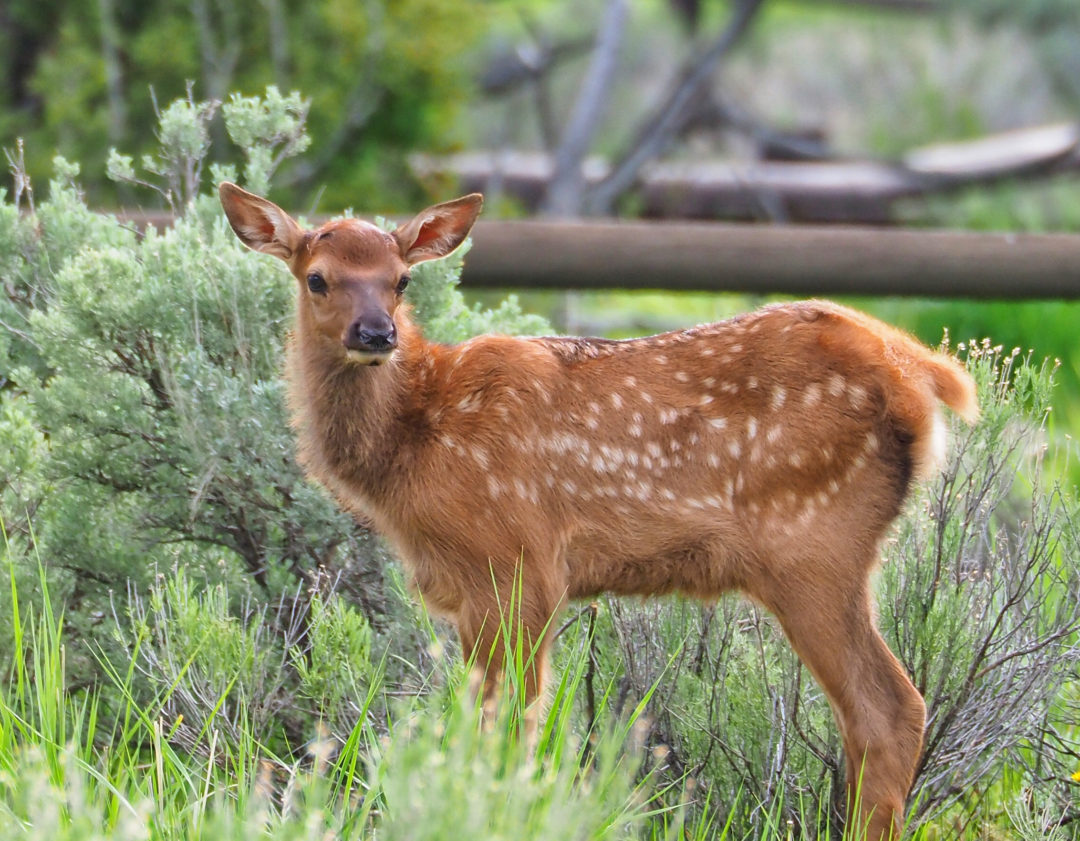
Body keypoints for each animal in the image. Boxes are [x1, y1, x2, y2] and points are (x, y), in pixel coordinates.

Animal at [219, 184, 980, 841]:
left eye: (402, 279)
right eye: (317, 278)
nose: (377, 334)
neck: (415, 441)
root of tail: (917, 369)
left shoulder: (517, 563)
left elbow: (510, 729)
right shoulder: (469, 589)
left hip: (814, 545)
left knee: (889, 709)